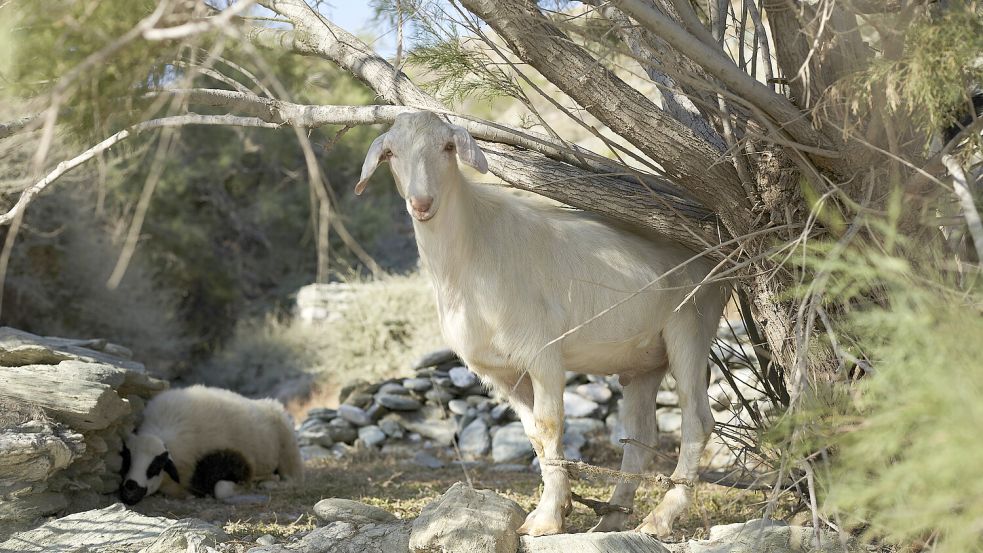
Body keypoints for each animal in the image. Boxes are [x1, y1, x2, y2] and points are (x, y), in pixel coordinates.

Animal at [119, 386, 304, 502]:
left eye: (157, 466)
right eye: (127, 459)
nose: (130, 489)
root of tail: (270, 403)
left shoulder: (237, 462)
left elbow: (221, 489)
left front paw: (244, 488)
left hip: (289, 452)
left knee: (293, 480)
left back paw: (271, 483)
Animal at [358, 111, 728, 536]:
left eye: (448, 147)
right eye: (390, 152)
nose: (422, 203)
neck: (472, 248)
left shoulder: (543, 354)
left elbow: (550, 424)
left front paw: (548, 519)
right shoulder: (503, 373)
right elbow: (533, 434)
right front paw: (556, 507)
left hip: (691, 322)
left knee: (697, 420)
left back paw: (660, 518)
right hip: (644, 361)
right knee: (640, 435)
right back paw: (611, 518)